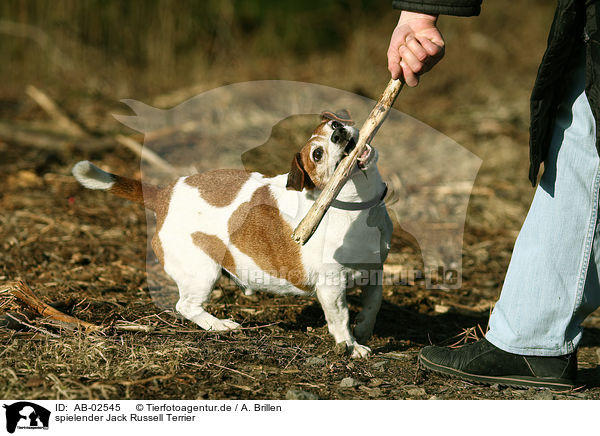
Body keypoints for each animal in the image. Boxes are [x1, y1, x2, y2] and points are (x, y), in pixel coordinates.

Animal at [72, 110, 394, 358]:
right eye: (317, 154)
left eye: (334, 125)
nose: (338, 132)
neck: (354, 203)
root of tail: (164, 195)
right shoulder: (331, 287)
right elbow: (340, 319)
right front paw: (351, 346)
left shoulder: (375, 270)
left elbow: (373, 304)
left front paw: (364, 328)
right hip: (202, 271)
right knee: (185, 305)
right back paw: (218, 325)